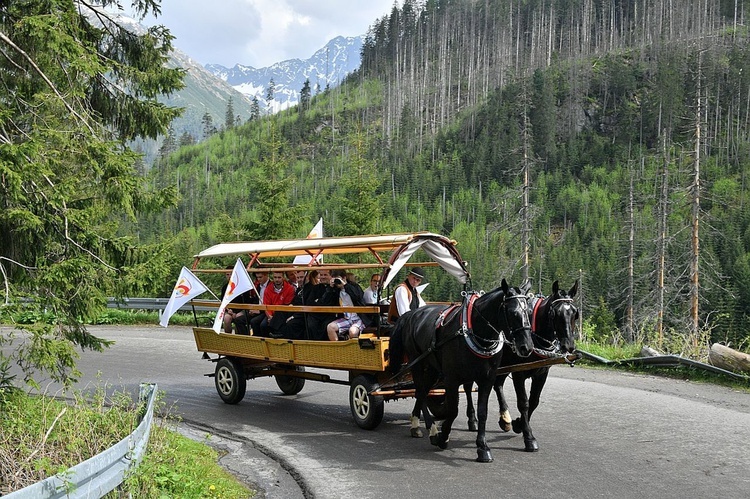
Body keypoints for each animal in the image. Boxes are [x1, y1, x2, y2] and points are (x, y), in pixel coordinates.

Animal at [390, 280, 536, 462]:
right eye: (512, 312)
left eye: (529, 311)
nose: (527, 347)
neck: (474, 332)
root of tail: (411, 314)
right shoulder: (451, 379)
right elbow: (453, 411)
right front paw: (443, 437)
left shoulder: (487, 379)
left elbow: (482, 412)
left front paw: (482, 447)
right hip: (416, 361)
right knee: (421, 392)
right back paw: (431, 430)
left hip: (432, 368)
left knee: (422, 392)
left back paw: (416, 423)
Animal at [494, 282, 580, 454]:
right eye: (555, 313)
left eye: (575, 313)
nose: (568, 346)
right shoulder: (518, 372)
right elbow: (524, 402)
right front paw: (528, 437)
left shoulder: (542, 373)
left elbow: (534, 401)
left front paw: (519, 424)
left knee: (497, 384)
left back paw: (505, 419)